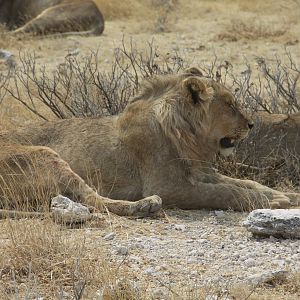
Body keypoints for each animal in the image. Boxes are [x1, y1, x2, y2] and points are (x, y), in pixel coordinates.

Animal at [0, 67, 300, 218]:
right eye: (229, 104)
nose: (251, 125)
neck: (189, 137)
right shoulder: (170, 186)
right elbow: (225, 193)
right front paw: (274, 201)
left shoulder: (201, 172)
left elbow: (246, 182)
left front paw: (286, 195)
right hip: (45, 154)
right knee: (93, 200)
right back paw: (145, 205)